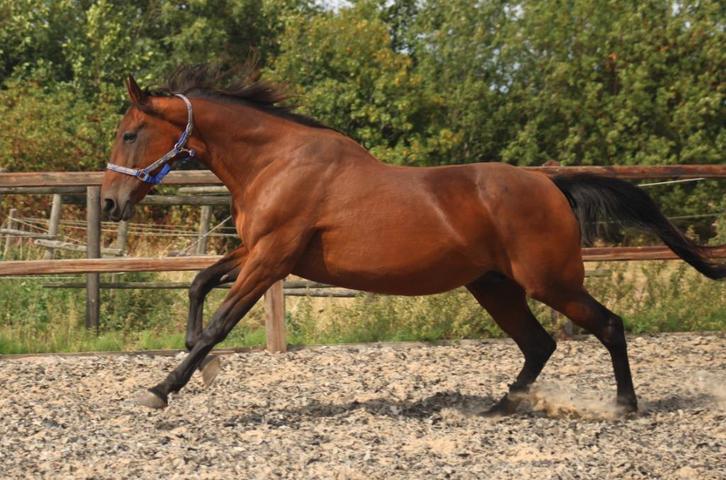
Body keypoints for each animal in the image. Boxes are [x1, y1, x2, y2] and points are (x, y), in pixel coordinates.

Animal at [101, 64, 725, 413]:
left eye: (130, 133)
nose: (109, 202)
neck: (278, 162)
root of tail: (550, 182)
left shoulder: (272, 257)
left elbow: (221, 321)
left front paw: (162, 387)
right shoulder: (259, 251)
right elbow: (200, 284)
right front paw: (196, 363)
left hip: (550, 282)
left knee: (608, 326)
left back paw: (624, 405)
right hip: (495, 287)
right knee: (539, 345)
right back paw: (498, 407)